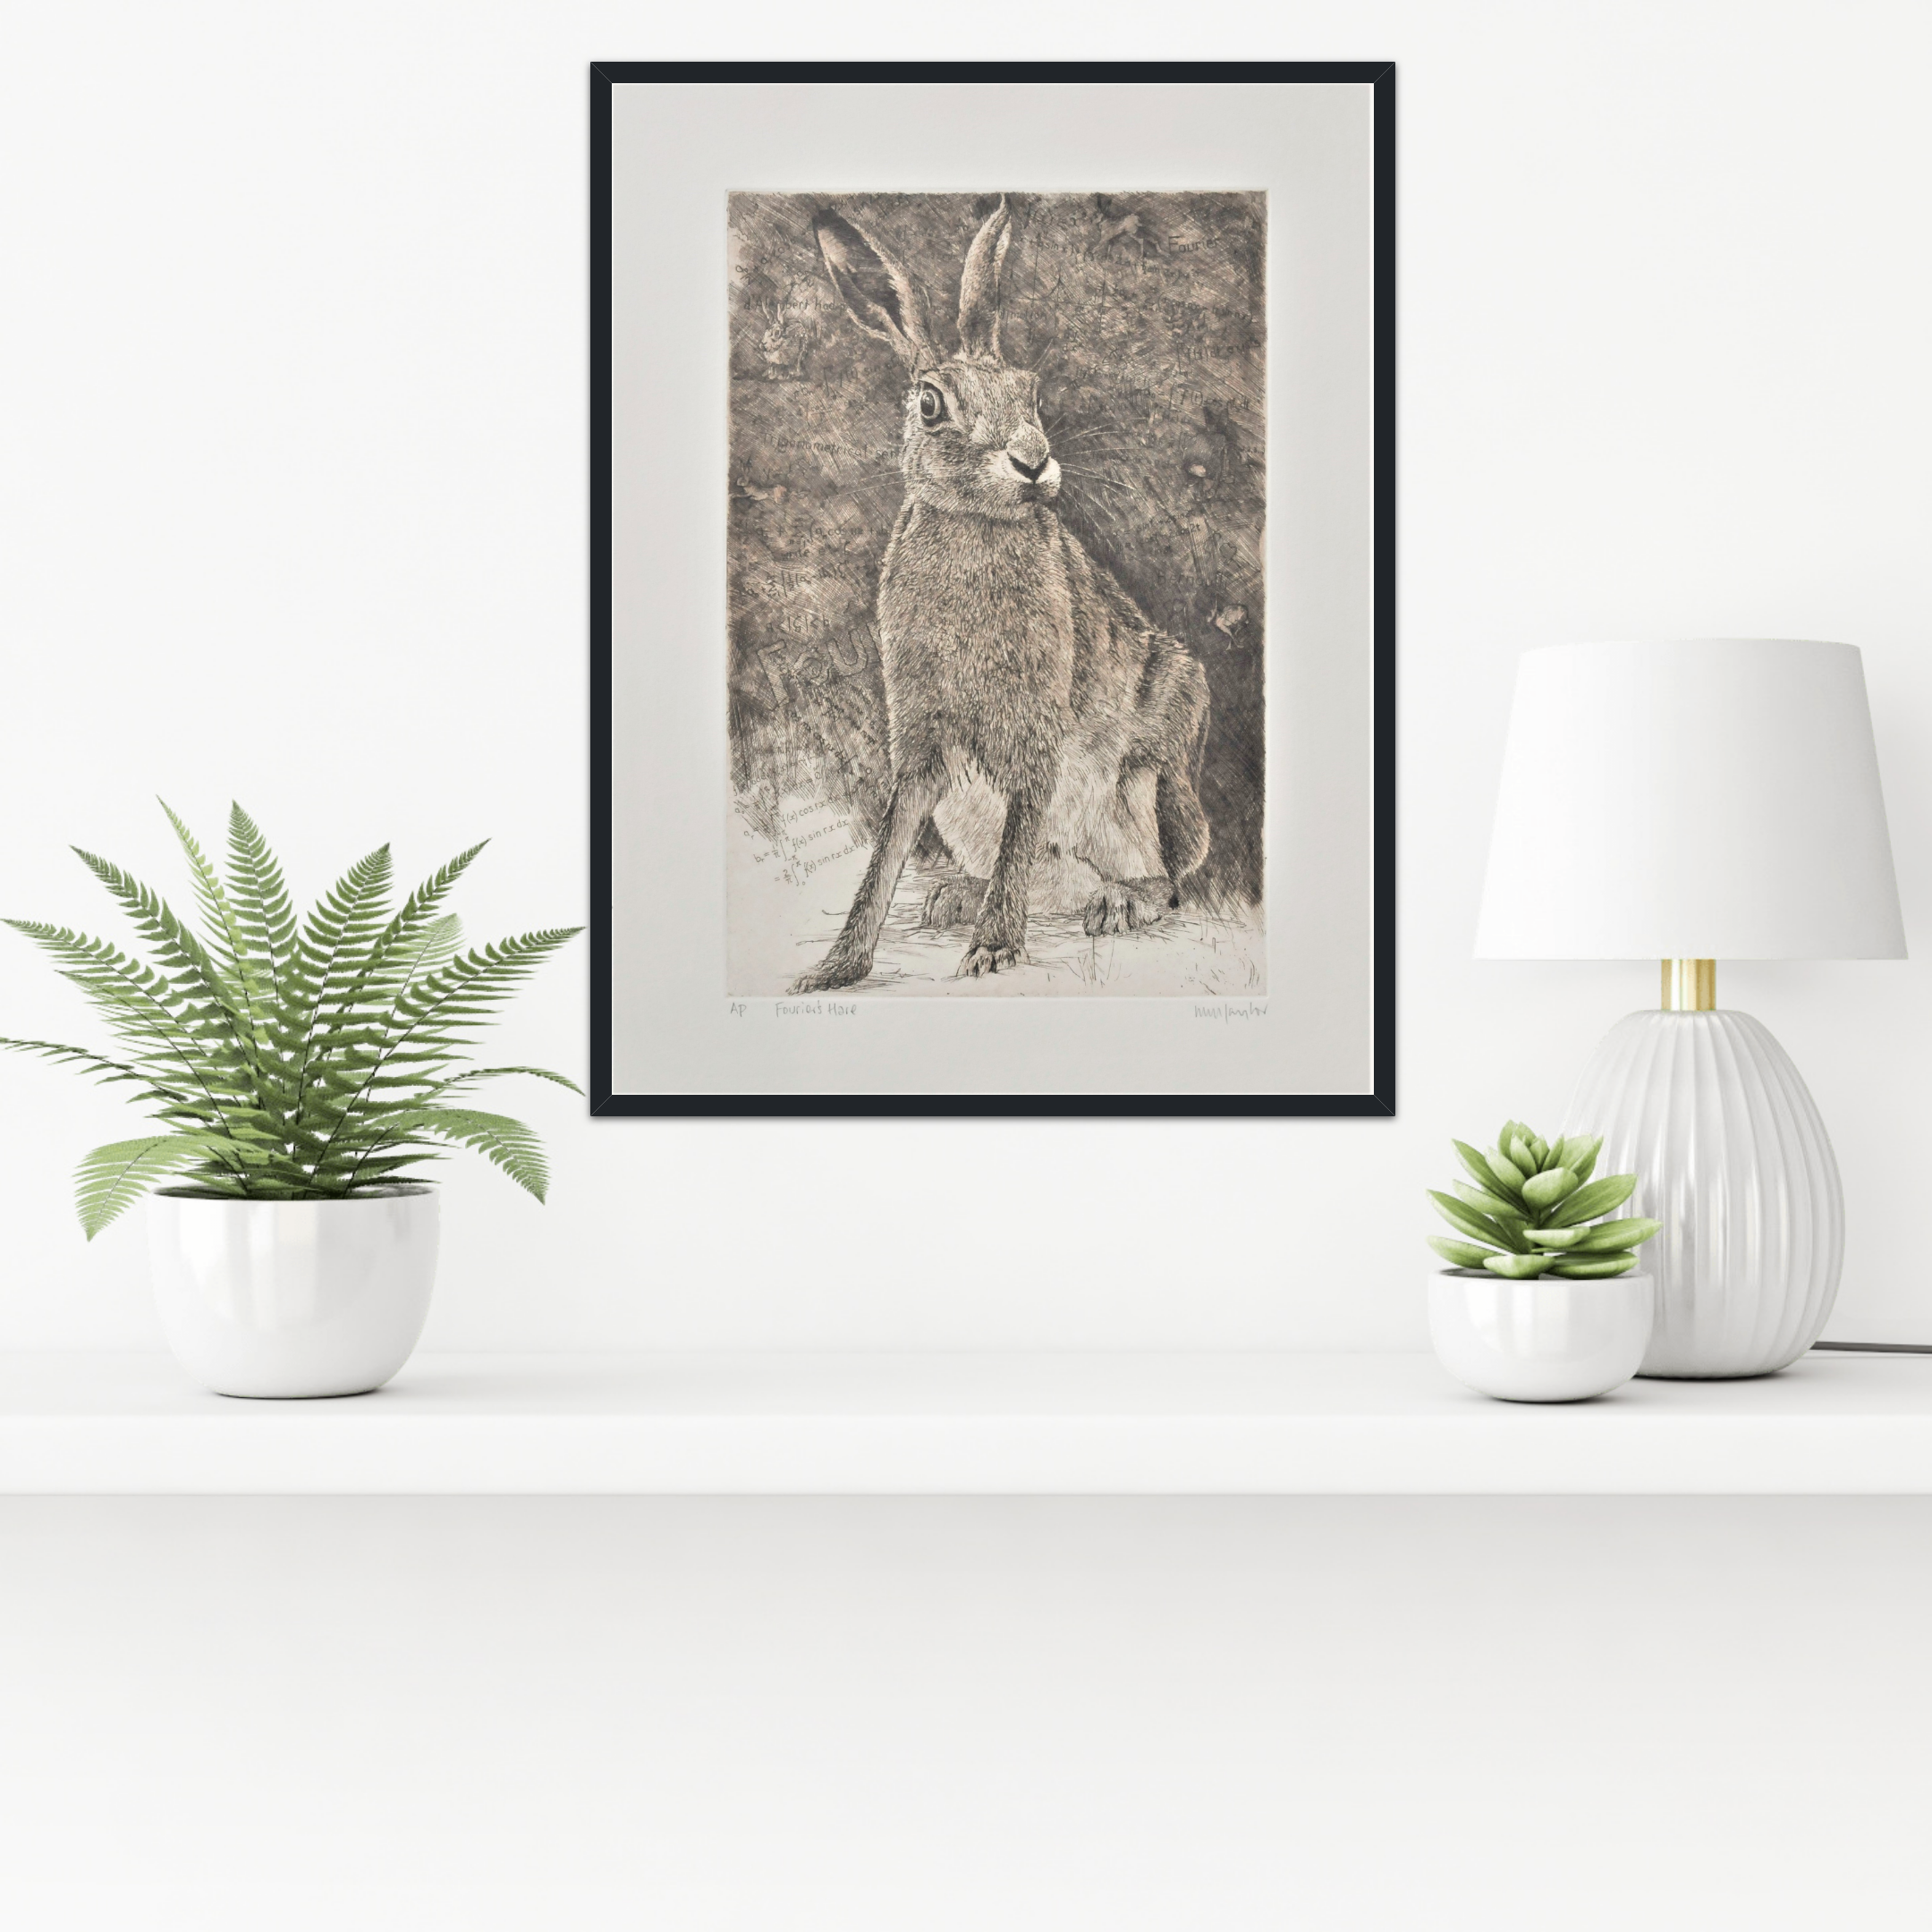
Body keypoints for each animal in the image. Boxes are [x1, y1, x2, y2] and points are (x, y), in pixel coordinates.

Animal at [789, 196, 1211, 994]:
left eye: (1032, 392)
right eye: (930, 405)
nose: (1033, 462)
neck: (975, 526)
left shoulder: (1038, 726)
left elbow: (1023, 829)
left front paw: (991, 951)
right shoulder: (921, 738)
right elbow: (888, 848)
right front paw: (834, 968)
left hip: (1144, 780)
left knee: (1164, 879)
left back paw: (1116, 905)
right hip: (968, 810)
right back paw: (960, 897)